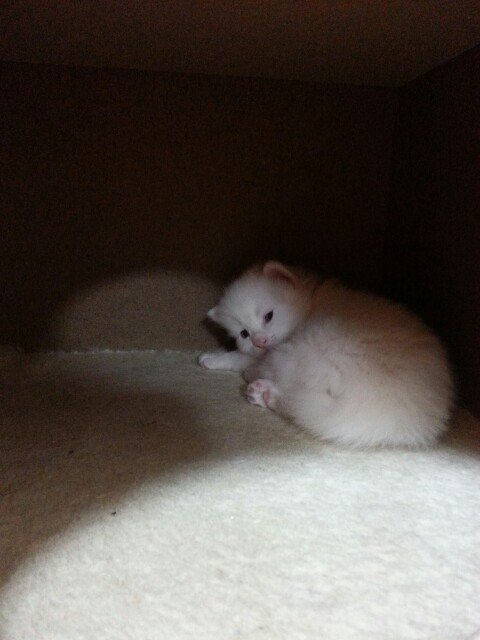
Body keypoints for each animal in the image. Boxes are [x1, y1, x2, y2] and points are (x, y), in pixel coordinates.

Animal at [199, 261, 454, 448]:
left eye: (268, 316)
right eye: (244, 333)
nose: (259, 341)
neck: (309, 306)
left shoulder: (277, 349)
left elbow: (242, 358)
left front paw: (213, 358)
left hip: (307, 352)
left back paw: (261, 389)